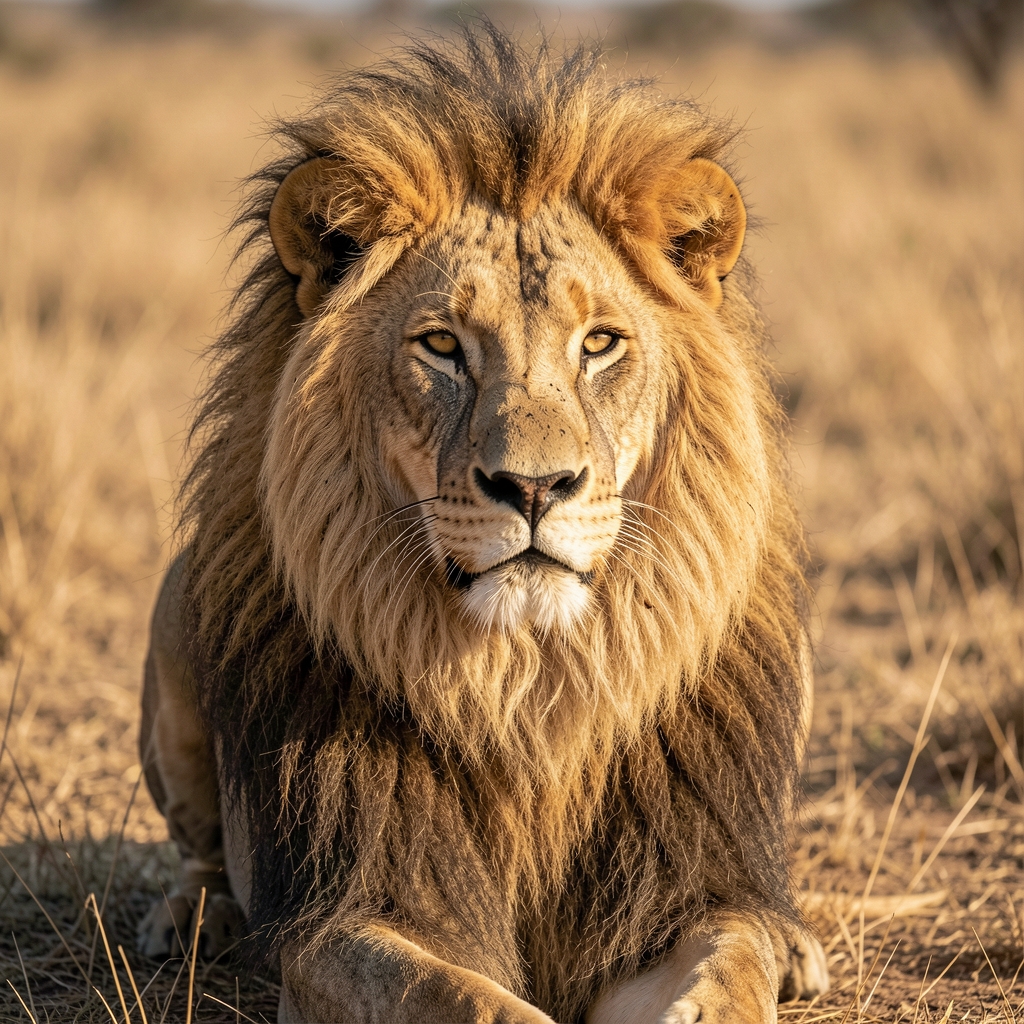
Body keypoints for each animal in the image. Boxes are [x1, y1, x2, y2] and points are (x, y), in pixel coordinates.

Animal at [137, 29, 829, 1023]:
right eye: (442, 346)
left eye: (600, 343)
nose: (535, 487)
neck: (531, 686)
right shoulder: (348, 912)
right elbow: (455, 993)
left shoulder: (671, 895)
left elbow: (731, 965)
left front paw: (764, 958)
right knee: (200, 852)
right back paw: (193, 923)